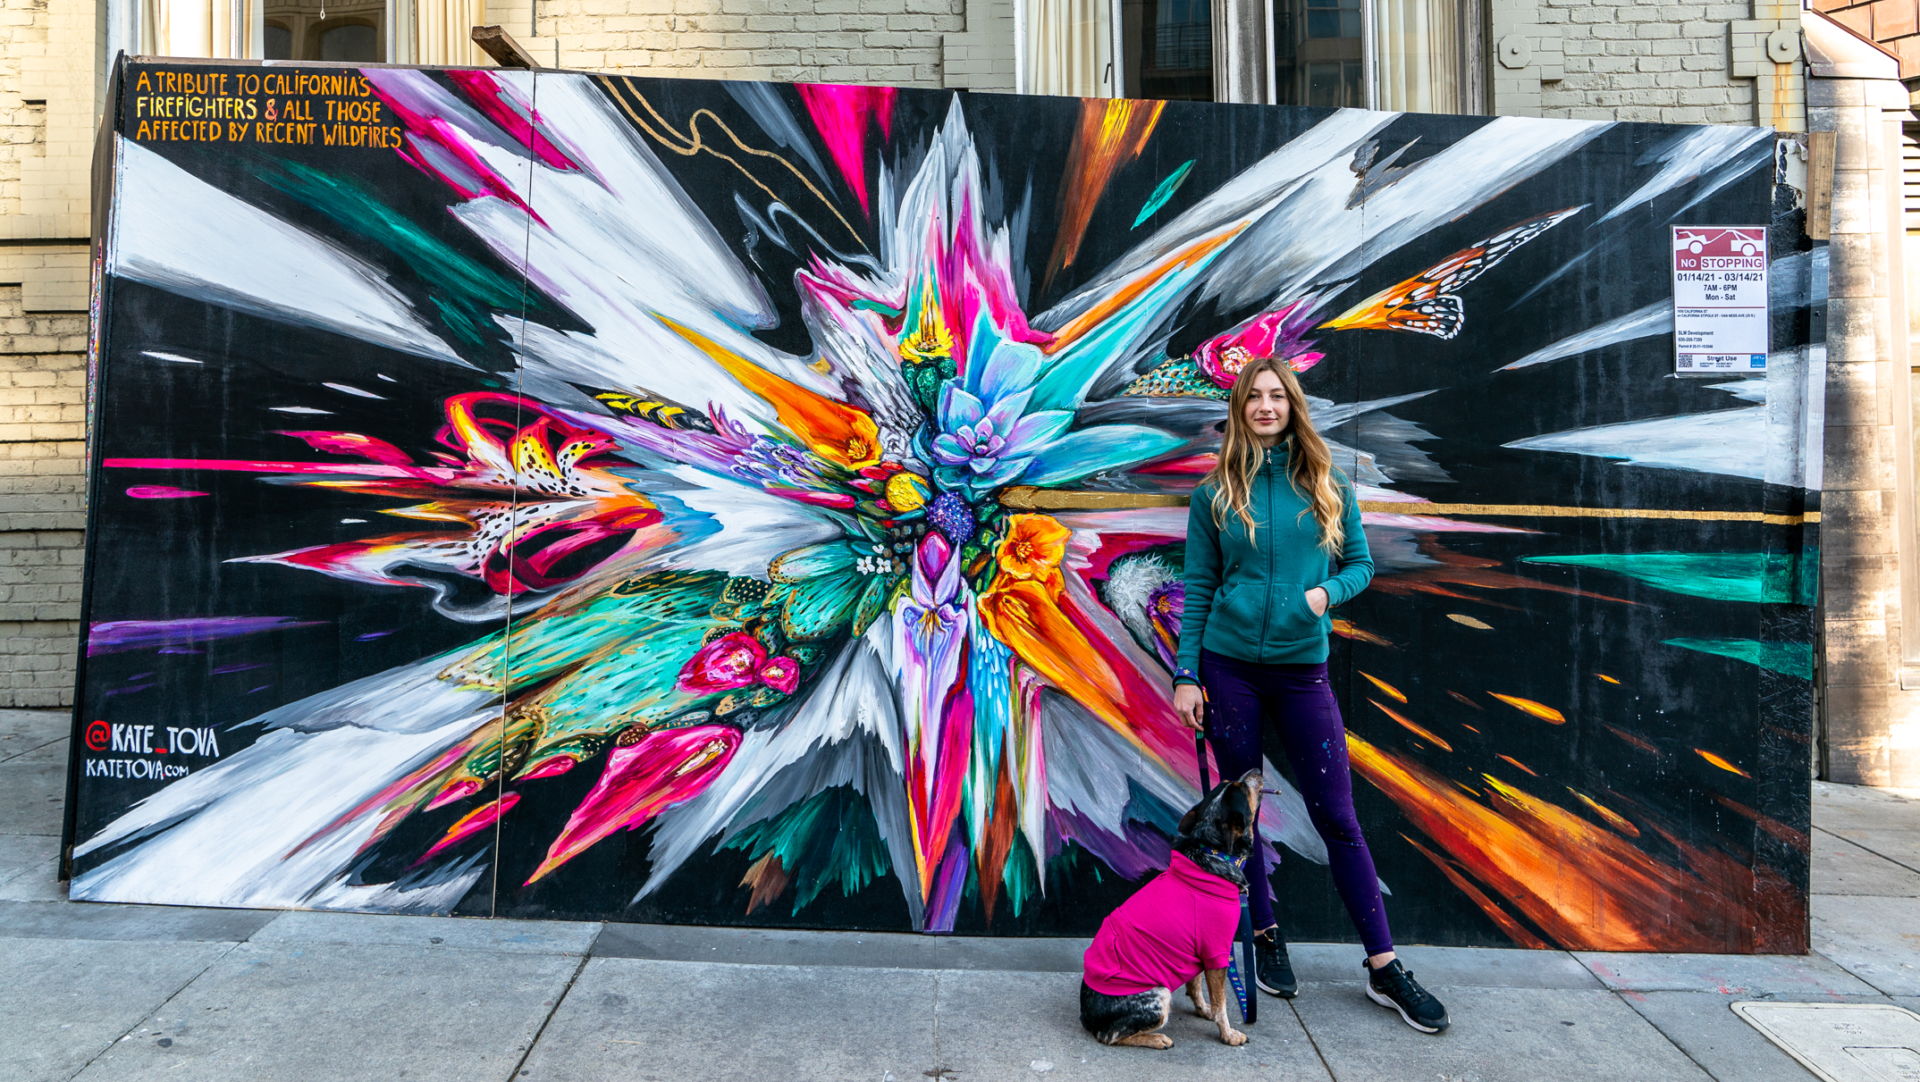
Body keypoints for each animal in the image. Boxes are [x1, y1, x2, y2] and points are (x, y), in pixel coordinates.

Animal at [1082, 767, 1259, 1051]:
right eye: (1241, 788)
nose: (1255, 770)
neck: (1213, 852)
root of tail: (1086, 1017)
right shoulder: (1218, 952)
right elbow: (1221, 1003)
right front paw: (1228, 1034)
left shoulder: (1195, 951)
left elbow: (1196, 985)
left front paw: (1203, 1009)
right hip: (1159, 994)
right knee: (1110, 1036)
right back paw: (1156, 1039)